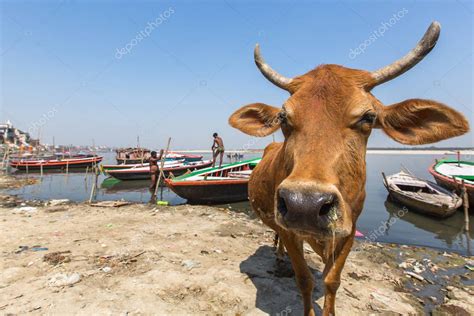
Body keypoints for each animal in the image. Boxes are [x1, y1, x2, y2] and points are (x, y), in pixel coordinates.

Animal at [228, 21, 468, 314]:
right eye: (283, 117)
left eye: (368, 117)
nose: (304, 204)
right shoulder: (290, 230)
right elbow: (304, 279)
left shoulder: (350, 230)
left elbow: (332, 279)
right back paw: (279, 254)